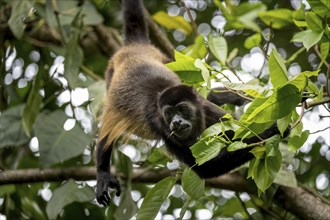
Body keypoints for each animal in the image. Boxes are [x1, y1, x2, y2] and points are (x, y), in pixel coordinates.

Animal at [94, 0, 288, 206]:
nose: (176, 122)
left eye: (182, 109)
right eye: (169, 113)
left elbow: (236, 132)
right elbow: (205, 167)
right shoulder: (159, 124)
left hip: (166, 60)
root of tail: (134, 46)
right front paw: (272, 131)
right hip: (110, 77)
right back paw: (103, 174)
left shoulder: (206, 109)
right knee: (107, 131)